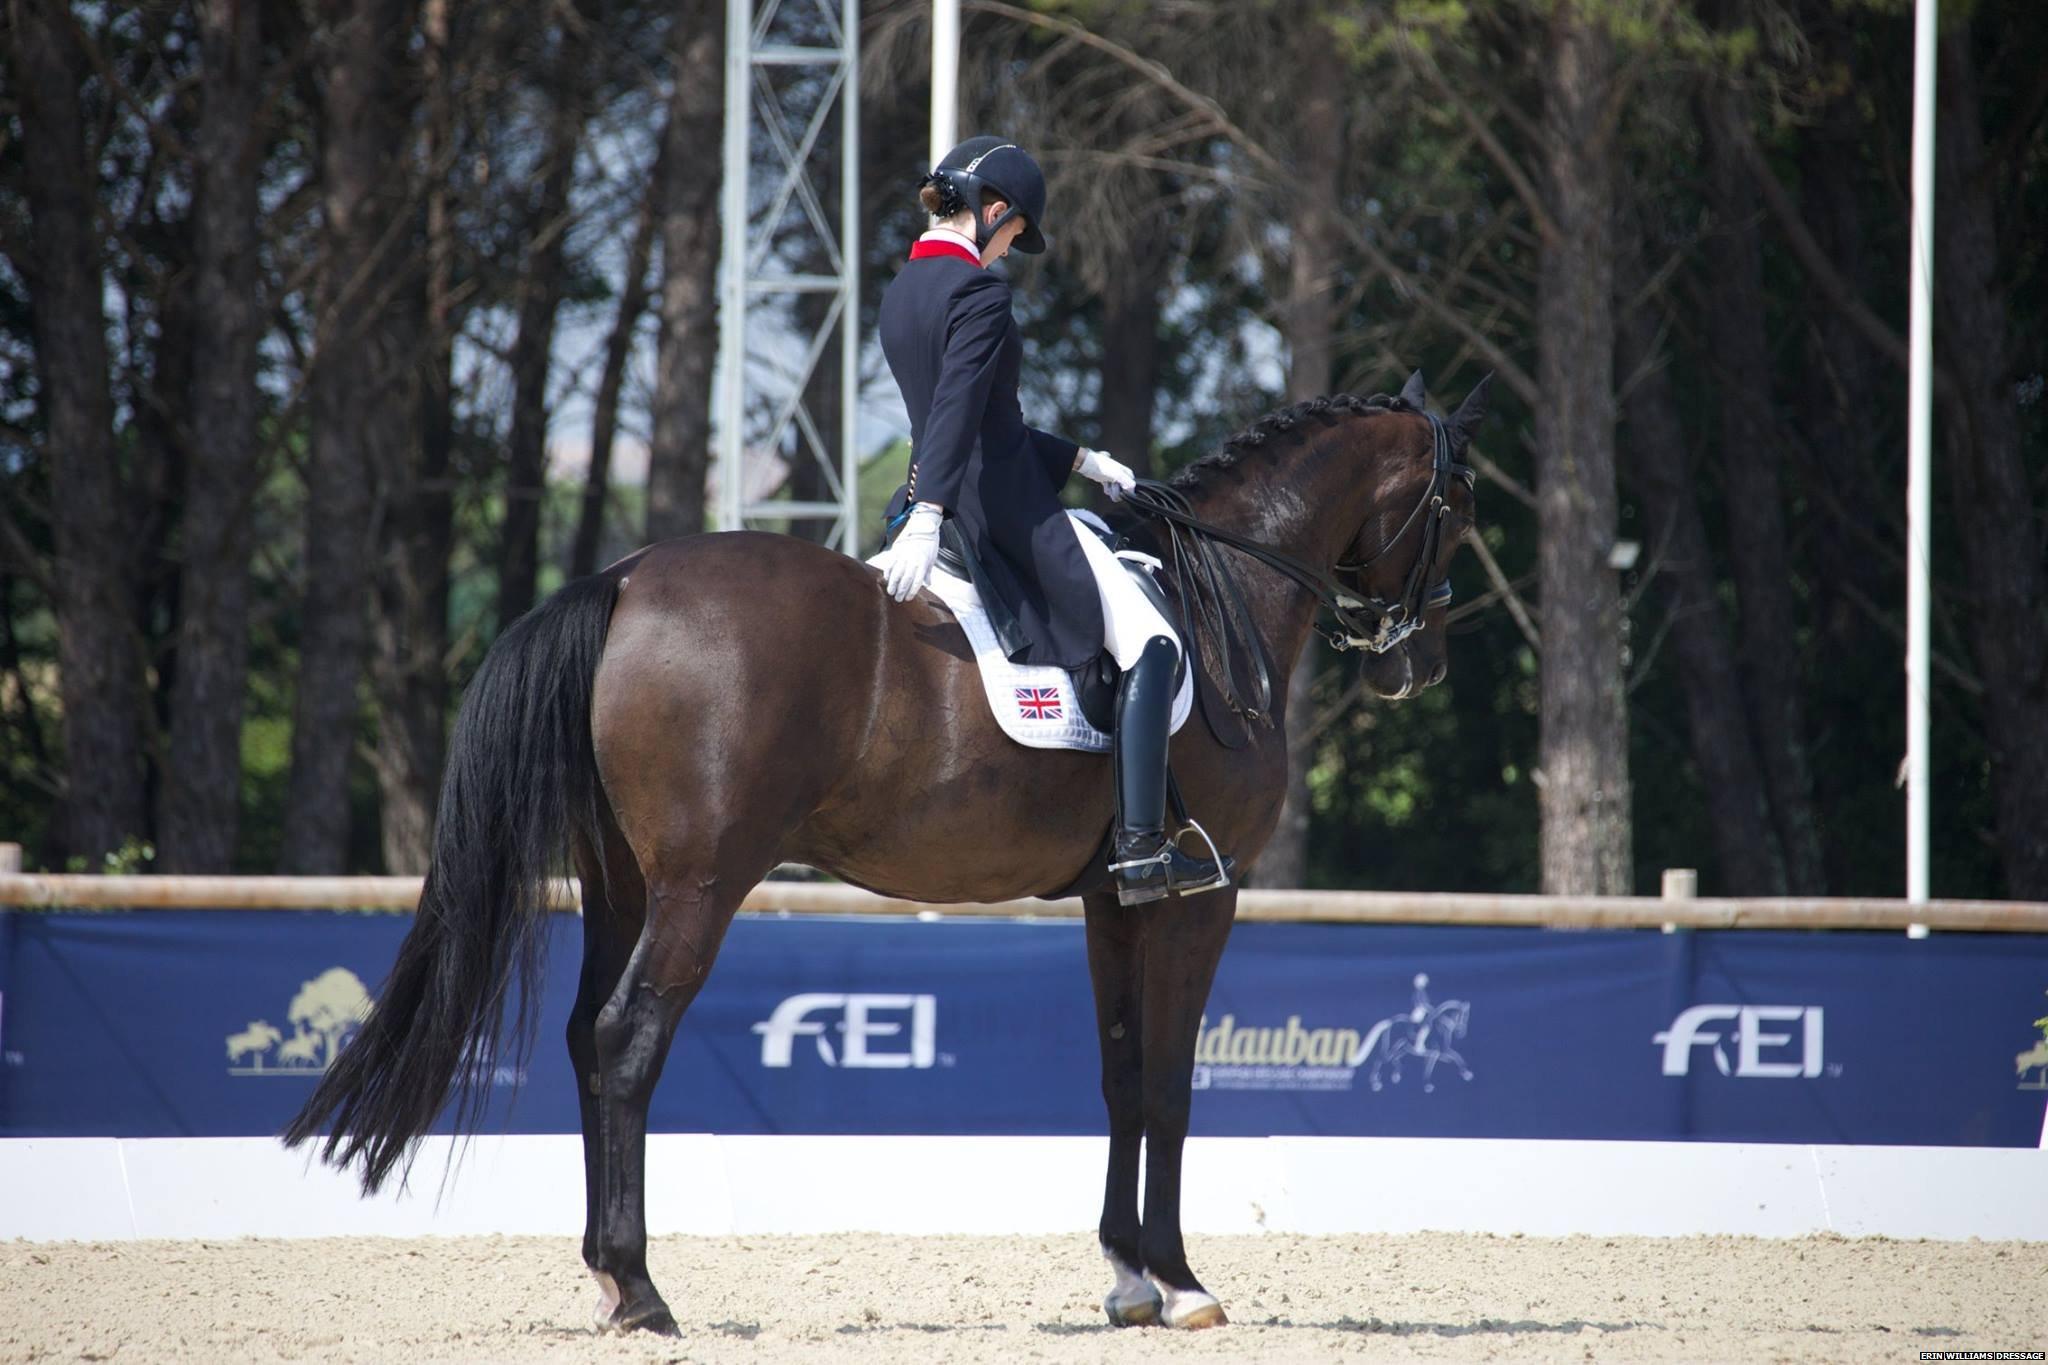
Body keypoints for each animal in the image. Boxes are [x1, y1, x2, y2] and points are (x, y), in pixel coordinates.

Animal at [280, 370, 1482, 1334]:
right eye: (1457, 505)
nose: (1414, 666)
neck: (1220, 594)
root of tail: (623, 579)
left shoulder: (1118, 899)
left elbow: (1121, 1076)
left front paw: (1129, 1280)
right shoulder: (1201, 895)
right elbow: (1173, 1082)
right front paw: (1183, 1284)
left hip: (619, 883)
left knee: (585, 1037)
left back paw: (606, 1276)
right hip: (700, 884)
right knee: (627, 1040)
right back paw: (641, 1292)